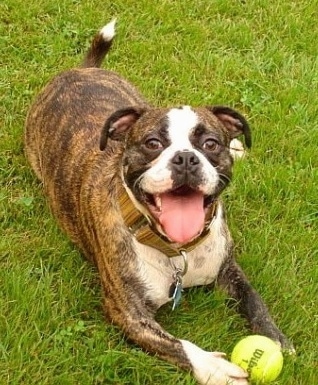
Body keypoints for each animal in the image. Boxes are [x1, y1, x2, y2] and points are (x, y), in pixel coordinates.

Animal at [24, 21, 292, 384]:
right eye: (152, 143)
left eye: (211, 143)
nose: (185, 158)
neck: (179, 250)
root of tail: (82, 70)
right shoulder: (129, 314)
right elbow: (178, 345)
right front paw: (215, 367)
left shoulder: (228, 269)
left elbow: (255, 301)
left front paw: (276, 341)